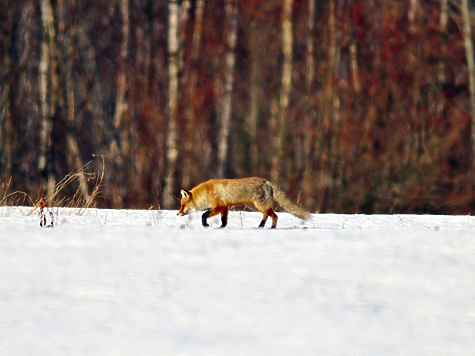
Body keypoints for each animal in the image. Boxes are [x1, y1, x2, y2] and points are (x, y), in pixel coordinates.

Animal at [177, 177, 310, 228]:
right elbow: (224, 220)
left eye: (183, 205)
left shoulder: (219, 206)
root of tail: (266, 181)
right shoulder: (225, 207)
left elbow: (204, 214)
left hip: (259, 205)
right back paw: (261, 226)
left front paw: (205, 224)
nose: (177, 214)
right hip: (254, 206)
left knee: (275, 216)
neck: (206, 192)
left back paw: (272, 228)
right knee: (267, 215)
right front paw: (222, 228)